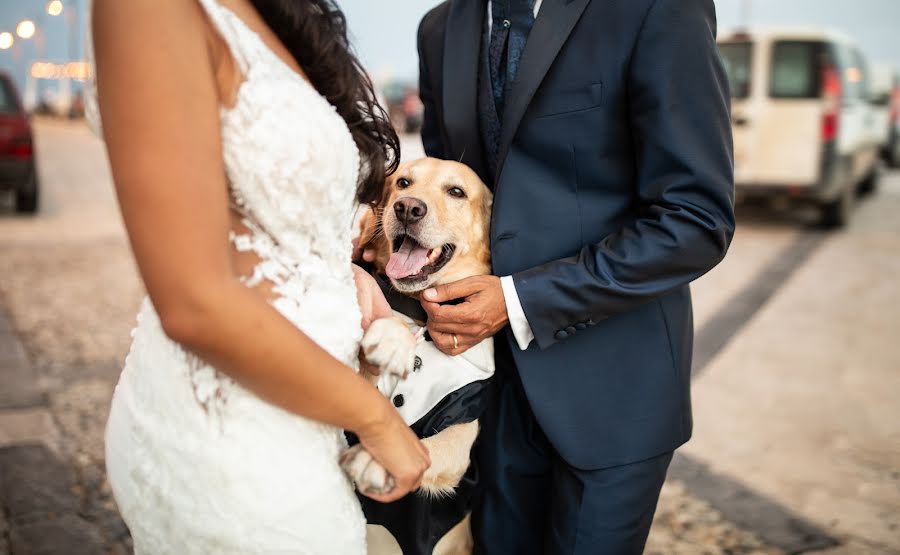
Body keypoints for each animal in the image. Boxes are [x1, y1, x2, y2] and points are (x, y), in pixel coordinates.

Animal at [342, 157, 492, 555]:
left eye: (456, 191)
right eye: (403, 183)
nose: (408, 208)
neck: (420, 312)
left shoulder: (463, 430)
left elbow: (432, 447)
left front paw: (379, 461)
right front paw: (392, 338)